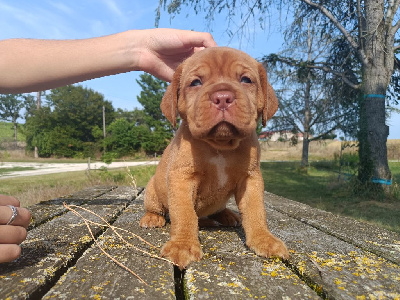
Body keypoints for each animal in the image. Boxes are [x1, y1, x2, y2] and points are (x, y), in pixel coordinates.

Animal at [139, 47, 290, 270]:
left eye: (246, 80)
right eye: (195, 83)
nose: (223, 97)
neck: (220, 146)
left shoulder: (251, 179)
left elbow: (256, 211)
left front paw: (264, 239)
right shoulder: (181, 179)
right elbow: (184, 214)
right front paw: (182, 245)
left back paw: (227, 214)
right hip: (152, 192)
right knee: (161, 209)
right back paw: (152, 218)